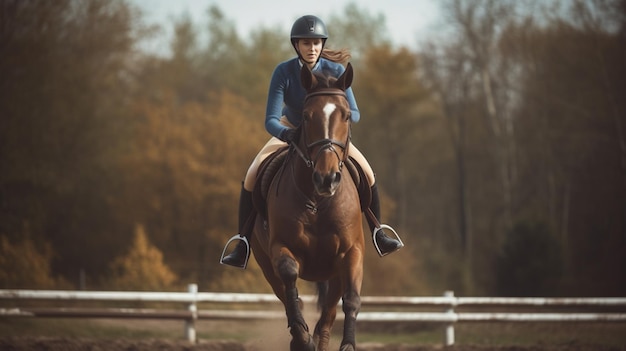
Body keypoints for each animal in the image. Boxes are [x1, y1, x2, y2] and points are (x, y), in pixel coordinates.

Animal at [251, 64, 364, 351]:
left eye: (347, 115)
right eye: (306, 115)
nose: (327, 178)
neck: (318, 202)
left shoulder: (351, 252)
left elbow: (351, 298)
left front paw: (347, 344)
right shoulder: (280, 248)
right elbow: (290, 279)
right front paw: (302, 339)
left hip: (334, 274)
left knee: (328, 315)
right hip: (265, 263)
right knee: (288, 297)